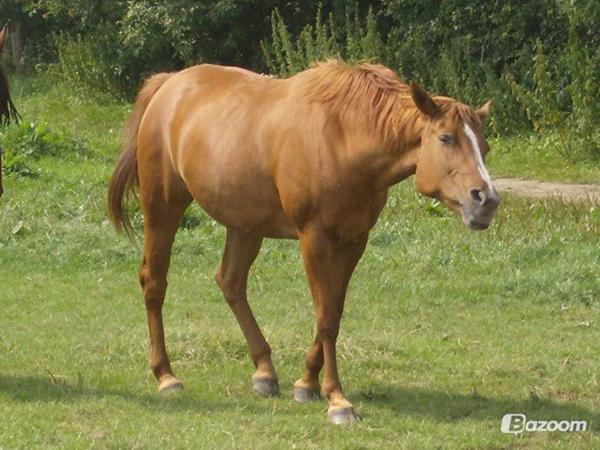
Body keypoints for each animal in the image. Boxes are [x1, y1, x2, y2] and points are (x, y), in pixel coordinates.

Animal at [106, 59, 496, 426]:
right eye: (446, 138)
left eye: (485, 146)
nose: (487, 200)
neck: (345, 137)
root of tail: (169, 84)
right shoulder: (314, 237)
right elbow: (325, 318)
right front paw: (337, 400)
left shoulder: (354, 240)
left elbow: (334, 311)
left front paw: (307, 382)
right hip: (163, 208)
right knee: (154, 283)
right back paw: (166, 375)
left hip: (245, 226)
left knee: (230, 282)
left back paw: (264, 371)